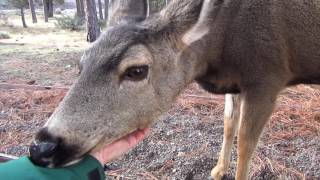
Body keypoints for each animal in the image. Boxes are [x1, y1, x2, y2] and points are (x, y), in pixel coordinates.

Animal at [28, 0, 320, 180]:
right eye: (81, 64)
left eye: (136, 70)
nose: (42, 147)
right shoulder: (235, 82)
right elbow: (228, 124)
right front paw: (217, 170)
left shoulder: (266, 76)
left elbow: (247, 143)